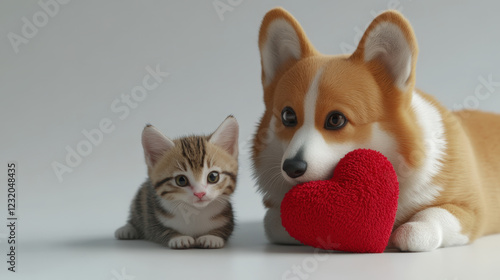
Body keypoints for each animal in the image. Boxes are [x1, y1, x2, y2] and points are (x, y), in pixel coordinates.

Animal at [115, 116, 238, 249]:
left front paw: (212, 237)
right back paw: (127, 229)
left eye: (213, 176)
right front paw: (179, 238)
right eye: (181, 180)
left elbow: (225, 229)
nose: (200, 193)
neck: (195, 212)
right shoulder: (153, 218)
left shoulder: (227, 219)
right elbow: (160, 230)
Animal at [252, 8, 500, 252]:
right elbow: (273, 222)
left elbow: (432, 216)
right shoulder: (272, 214)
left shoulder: (472, 210)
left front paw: (410, 231)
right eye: (288, 116)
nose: (292, 167)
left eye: (336, 120)